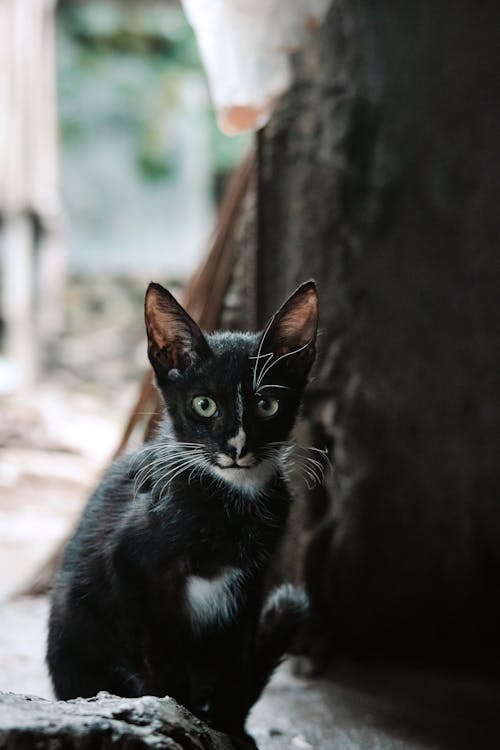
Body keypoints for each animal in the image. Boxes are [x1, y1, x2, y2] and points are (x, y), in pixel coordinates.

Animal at [47, 280, 320, 744]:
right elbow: (158, 654)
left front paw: (229, 727)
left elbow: (236, 662)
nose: (236, 446)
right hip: (69, 610)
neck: (229, 501)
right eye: (204, 405)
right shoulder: (129, 565)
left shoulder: (252, 584)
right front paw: (178, 714)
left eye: (267, 405)